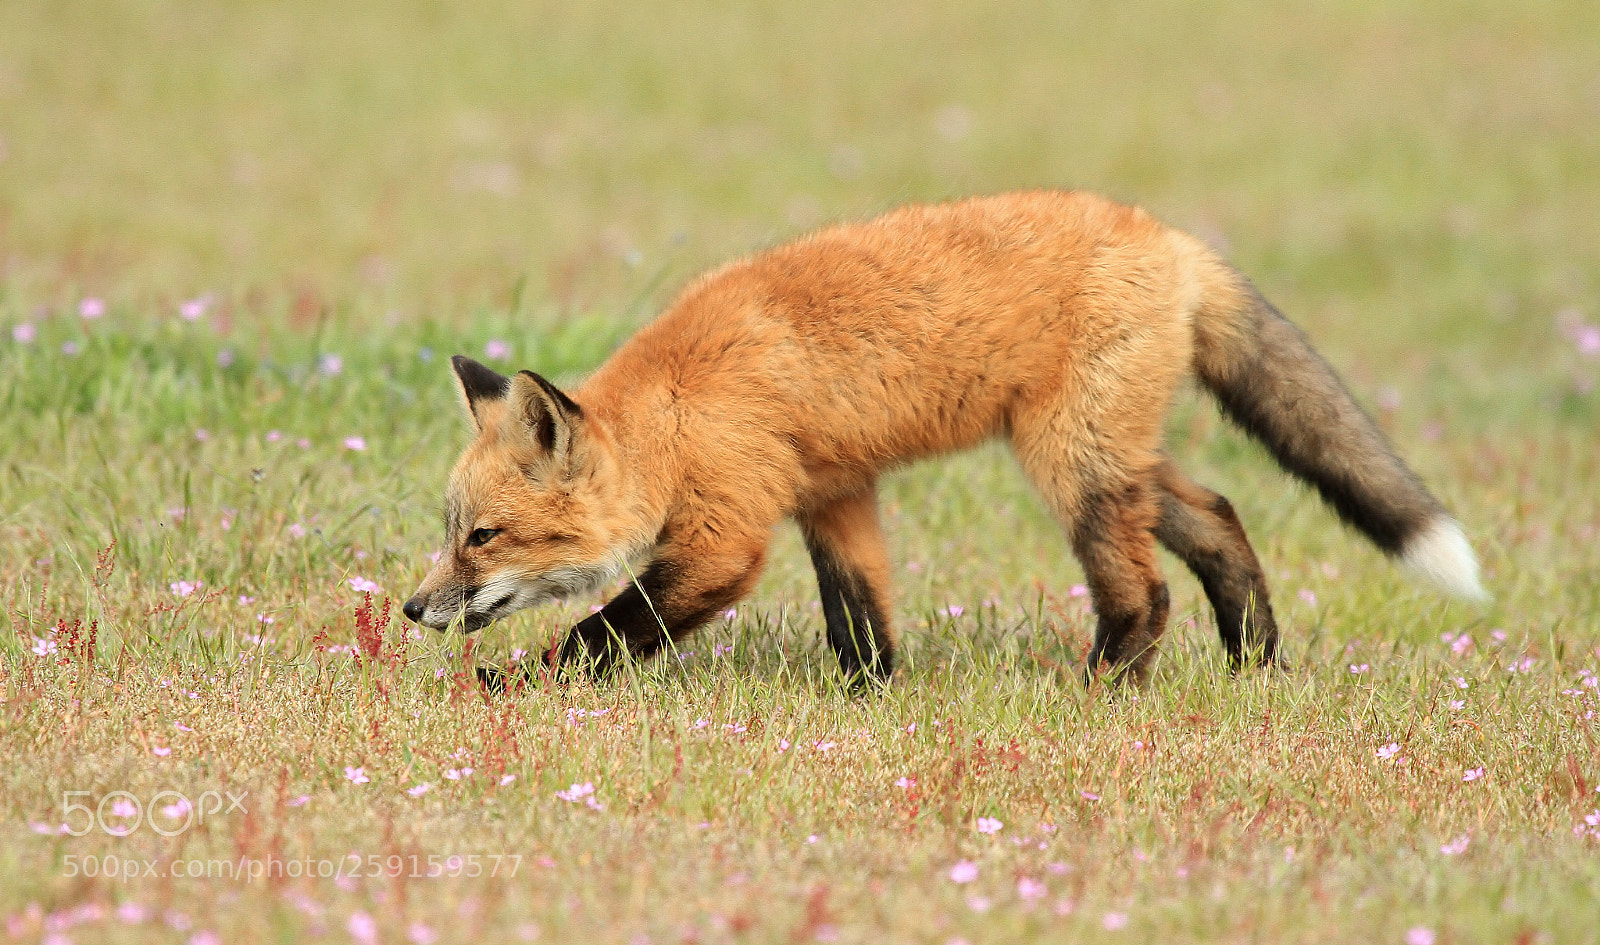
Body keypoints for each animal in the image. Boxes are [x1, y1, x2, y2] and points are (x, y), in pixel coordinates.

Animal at [402, 190, 1487, 690]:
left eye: (482, 538)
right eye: (451, 531)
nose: (412, 608)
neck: (679, 408)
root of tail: (1171, 237)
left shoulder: (726, 536)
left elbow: (602, 628)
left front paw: (514, 687)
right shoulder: (833, 493)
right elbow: (861, 622)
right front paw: (869, 699)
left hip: (1072, 466)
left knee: (1146, 590)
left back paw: (1102, 686)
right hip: (1115, 460)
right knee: (1218, 517)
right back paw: (1252, 663)